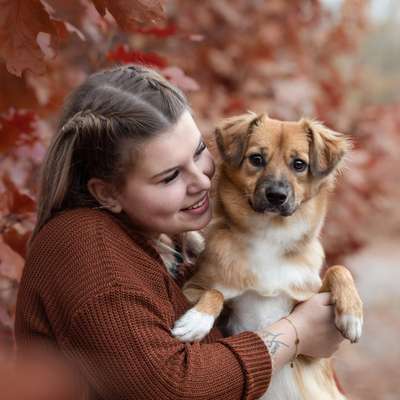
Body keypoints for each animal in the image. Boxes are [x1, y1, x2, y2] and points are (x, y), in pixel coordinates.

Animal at [171, 112, 362, 400]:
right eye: (257, 159)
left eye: (299, 164)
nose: (276, 196)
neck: (269, 237)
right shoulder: (193, 288)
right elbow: (215, 292)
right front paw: (196, 321)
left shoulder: (313, 350)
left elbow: (338, 269)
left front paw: (352, 315)